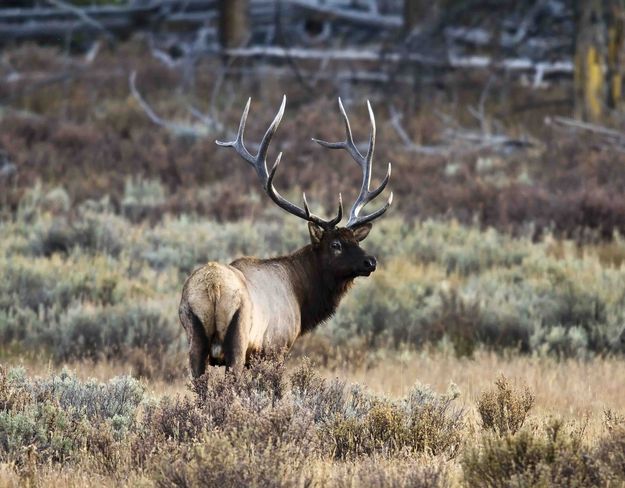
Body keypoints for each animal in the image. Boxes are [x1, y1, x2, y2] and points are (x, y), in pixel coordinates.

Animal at [179, 97, 390, 376]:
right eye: (335, 244)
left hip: (195, 339)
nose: (371, 262)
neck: (301, 297)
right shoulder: (276, 347)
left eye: (356, 240)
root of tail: (214, 288)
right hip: (238, 339)